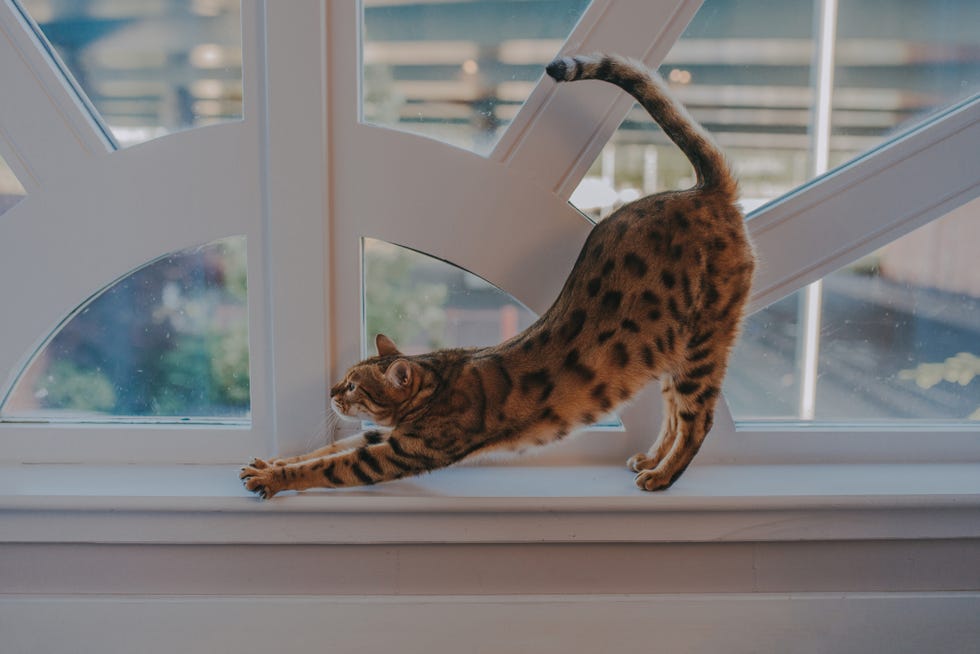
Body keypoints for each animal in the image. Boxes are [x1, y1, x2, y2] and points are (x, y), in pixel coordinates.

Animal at [241, 53, 756, 500]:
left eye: (352, 387)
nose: (330, 391)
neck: (437, 380)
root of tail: (705, 189)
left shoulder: (401, 451)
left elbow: (330, 464)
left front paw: (276, 479)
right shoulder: (378, 437)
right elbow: (325, 448)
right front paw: (273, 462)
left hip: (704, 342)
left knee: (697, 419)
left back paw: (663, 476)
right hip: (673, 349)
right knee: (672, 415)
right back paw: (651, 459)